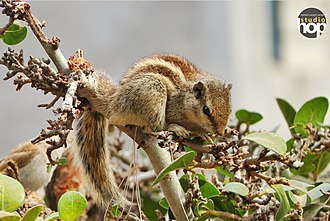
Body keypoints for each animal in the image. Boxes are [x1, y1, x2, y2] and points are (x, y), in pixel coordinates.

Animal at [72, 53, 232, 207]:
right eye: (206, 110)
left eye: (230, 109)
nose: (220, 132)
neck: (187, 96)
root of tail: (113, 103)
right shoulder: (174, 109)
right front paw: (200, 132)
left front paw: (206, 135)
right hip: (154, 88)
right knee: (155, 127)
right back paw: (174, 128)